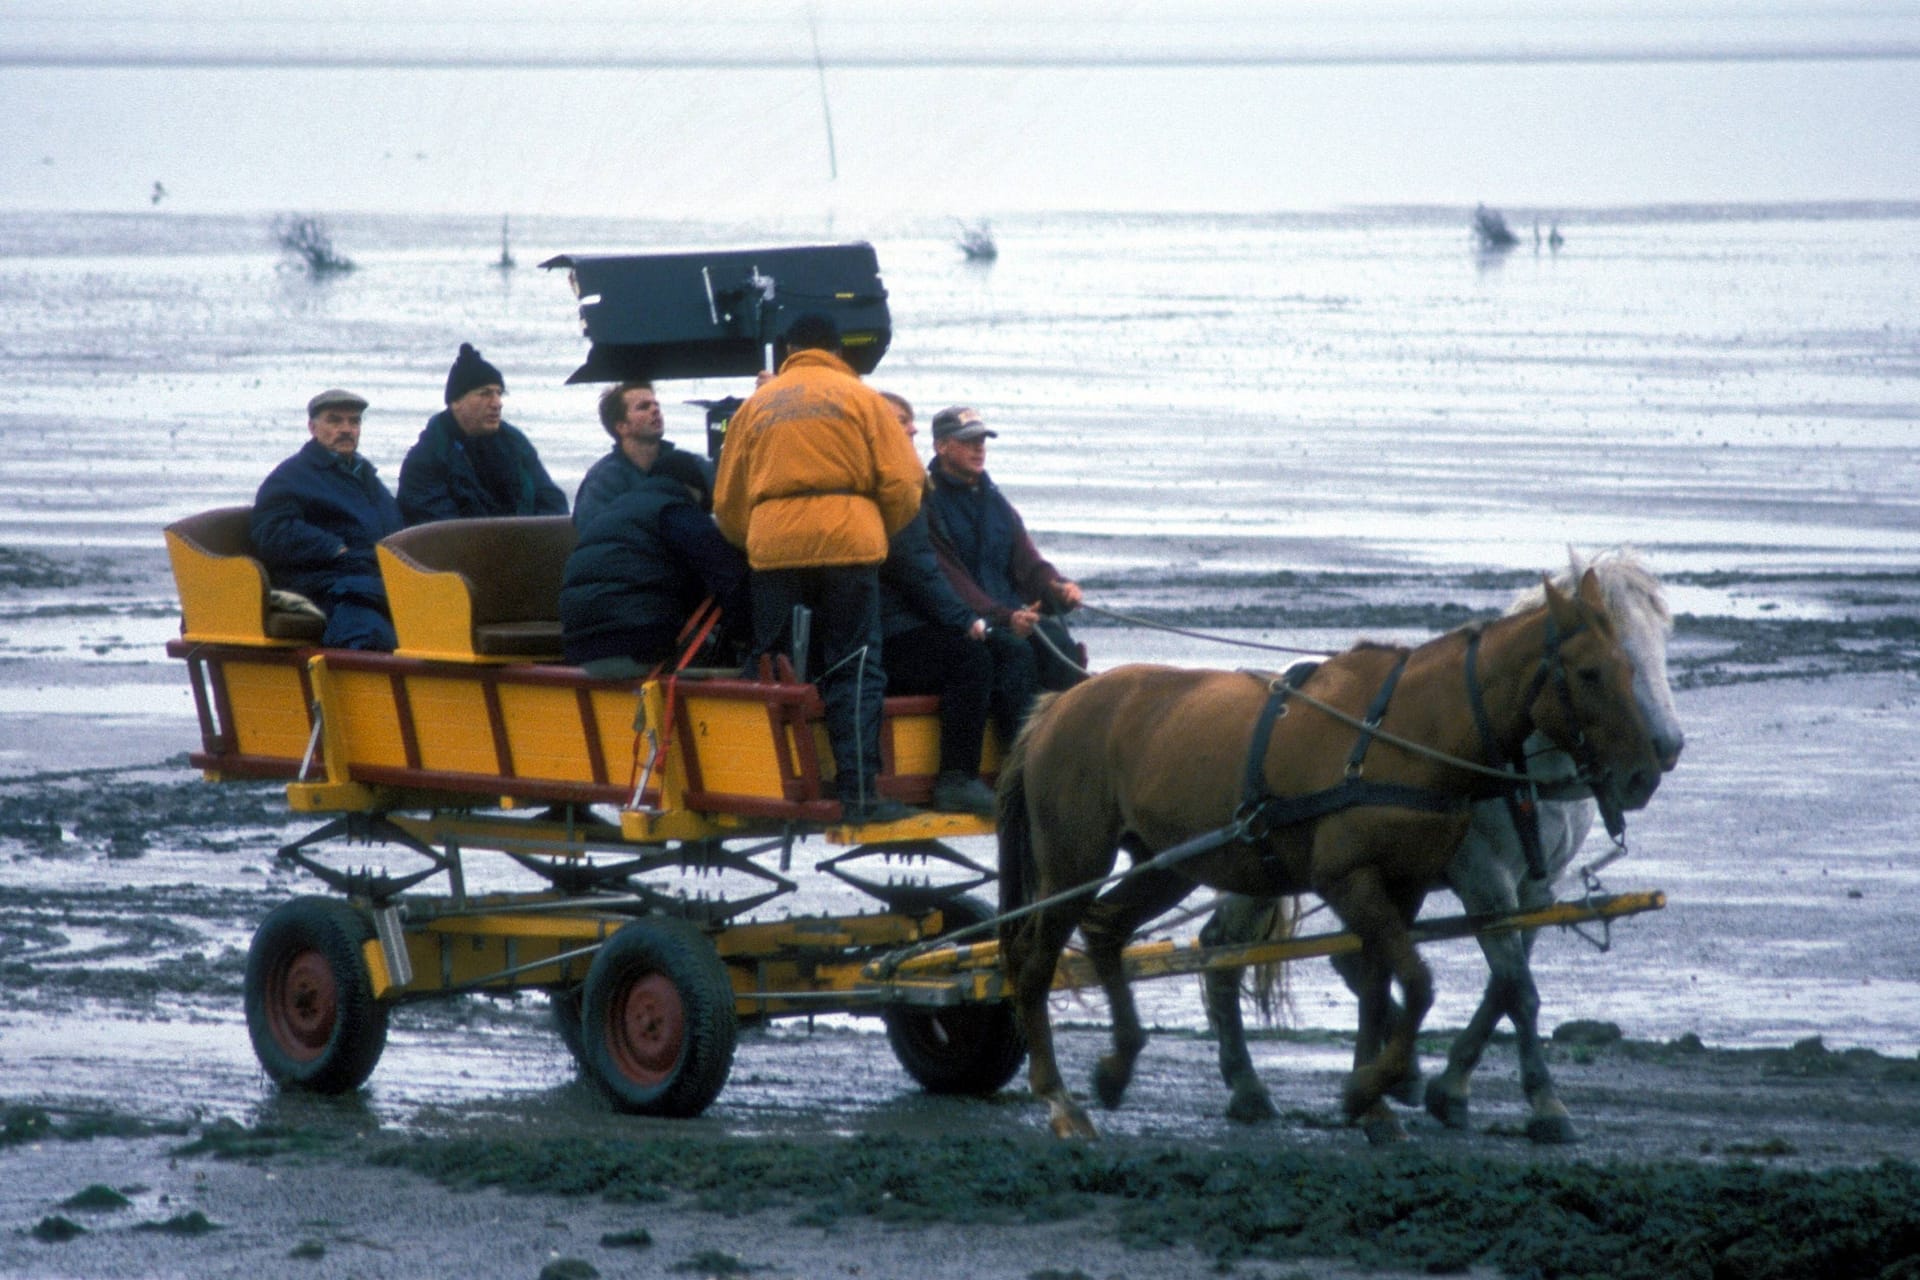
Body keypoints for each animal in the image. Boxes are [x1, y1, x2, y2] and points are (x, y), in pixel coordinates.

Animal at [998, 571, 1658, 1143]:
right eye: (1590, 672)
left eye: (1632, 666)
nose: (1646, 772)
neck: (1407, 731)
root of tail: (1058, 705)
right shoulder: (1352, 880)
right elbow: (1417, 984)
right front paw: (1373, 1087)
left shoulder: (1403, 886)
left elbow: (1380, 984)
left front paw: (1375, 1099)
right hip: (1074, 861)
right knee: (1035, 964)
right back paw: (1059, 1098)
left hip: (1167, 863)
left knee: (1107, 929)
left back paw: (1120, 1063)